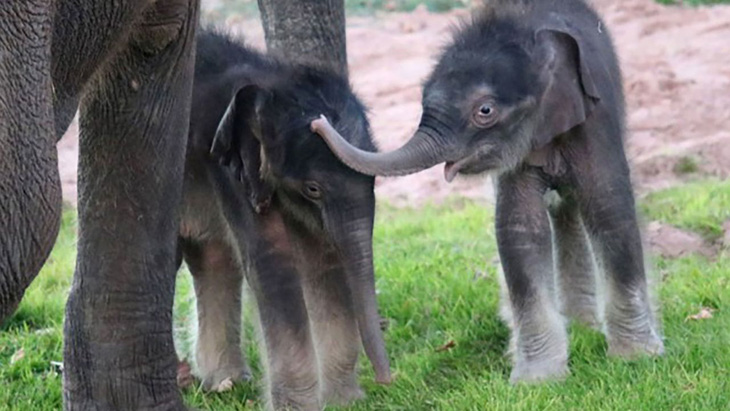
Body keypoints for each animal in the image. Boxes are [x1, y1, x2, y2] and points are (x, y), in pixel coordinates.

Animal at [177, 30, 390, 410]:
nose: (387, 380)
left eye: (374, 179)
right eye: (312, 188)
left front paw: (343, 401)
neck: (268, 81)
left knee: (212, 257)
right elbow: (272, 263)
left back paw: (225, 382)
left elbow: (321, 258)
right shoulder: (229, 168)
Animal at [310, 0, 664, 384]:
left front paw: (636, 358)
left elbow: (609, 206)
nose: (316, 123)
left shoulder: (595, 119)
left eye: (485, 111)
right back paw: (570, 327)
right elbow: (519, 227)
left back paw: (584, 328)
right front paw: (538, 379)